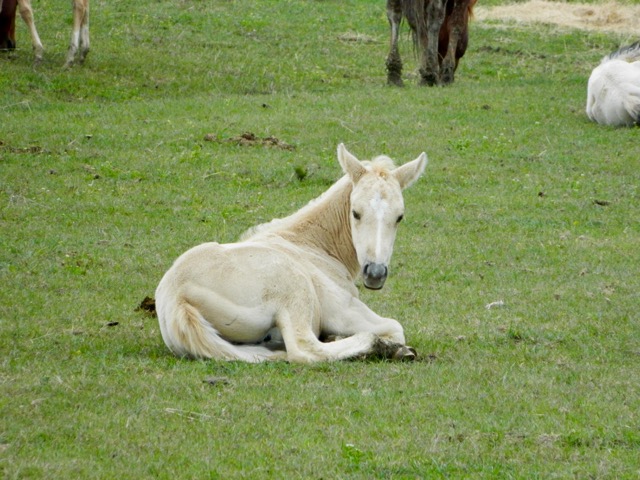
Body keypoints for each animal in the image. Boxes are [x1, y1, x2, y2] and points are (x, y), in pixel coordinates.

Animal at [155, 144, 428, 362]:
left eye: (399, 217)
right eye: (356, 212)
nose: (375, 274)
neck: (310, 246)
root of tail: (178, 296)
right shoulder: (342, 310)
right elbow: (395, 327)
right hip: (295, 290)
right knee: (303, 348)